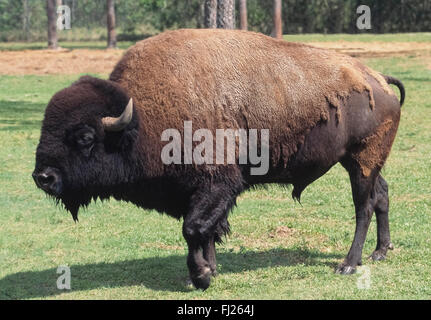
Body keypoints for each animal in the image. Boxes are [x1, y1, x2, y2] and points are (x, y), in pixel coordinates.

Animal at [33, 30, 404, 290]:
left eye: (85, 138)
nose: (43, 177)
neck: (140, 118)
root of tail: (378, 79)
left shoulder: (218, 186)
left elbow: (194, 229)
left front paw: (201, 276)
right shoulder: (200, 192)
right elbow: (207, 231)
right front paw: (207, 270)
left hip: (362, 160)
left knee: (364, 206)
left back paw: (349, 263)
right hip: (361, 162)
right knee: (382, 194)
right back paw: (380, 251)